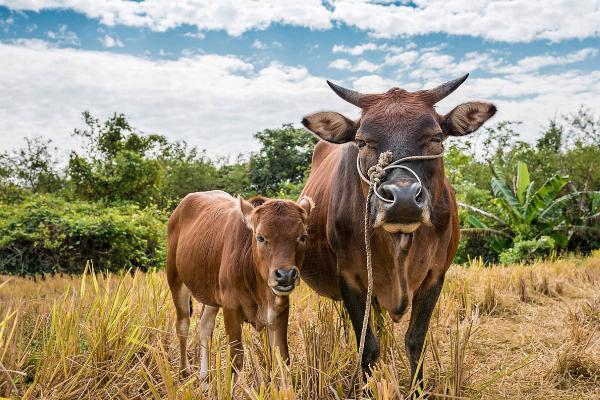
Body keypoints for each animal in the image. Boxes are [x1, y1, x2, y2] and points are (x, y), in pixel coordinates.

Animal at [165, 191, 312, 382]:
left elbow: (282, 359)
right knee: (183, 325)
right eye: (260, 237)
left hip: (211, 294)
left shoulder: (280, 309)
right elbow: (235, 360)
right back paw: (185, 372)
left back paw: (204, 379)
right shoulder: (231, 307)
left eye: (303, 236)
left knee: (205, 327)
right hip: (175, 279)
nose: (285, 275)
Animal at [300, 73, 496, 386]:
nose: (402, 199)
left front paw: (418, 388)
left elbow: (415, 341)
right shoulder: (349, 278)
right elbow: (367, 346)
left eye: (436, 137)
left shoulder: (435, 275)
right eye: (361, 141)